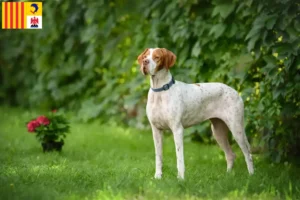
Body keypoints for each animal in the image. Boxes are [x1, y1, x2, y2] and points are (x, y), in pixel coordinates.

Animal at [137, 47, 254, 180]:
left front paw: (180, 178)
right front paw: (158, 176)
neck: (160, 91)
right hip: (218, 131)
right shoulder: (156, 130)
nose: (145, 62)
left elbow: (179, 158)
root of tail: (235, 91)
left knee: (248, 153)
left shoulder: (177, 129)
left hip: (236, 128)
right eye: (145, 56)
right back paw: (228, 175)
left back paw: (251, 175)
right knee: (230, 154)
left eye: (157, 57)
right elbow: (159, 157)